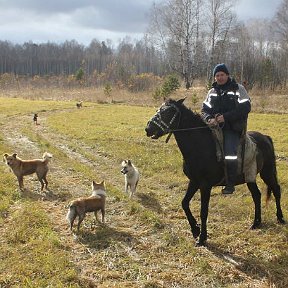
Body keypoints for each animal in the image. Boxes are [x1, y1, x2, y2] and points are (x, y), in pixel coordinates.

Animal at [145, 98, 284, 245]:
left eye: (168, 111)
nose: (148, 128)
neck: (201, 146)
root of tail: (265, 137)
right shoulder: (194, 181)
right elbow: (184, 203)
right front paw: (195, 229)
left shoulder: (205, 186)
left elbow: (203, 211)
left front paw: (202, 238)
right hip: (250, 177)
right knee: (256, 195)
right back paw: (256, 223)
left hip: (267, 173)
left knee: (276, 190)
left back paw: (280, 218)